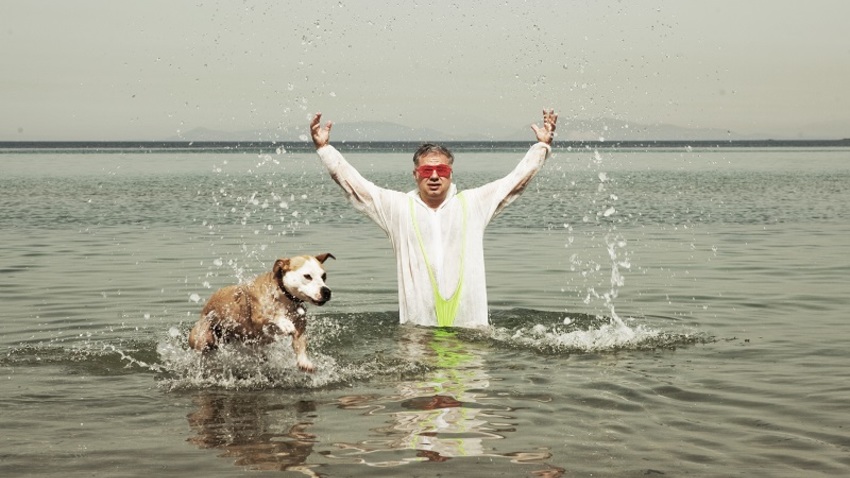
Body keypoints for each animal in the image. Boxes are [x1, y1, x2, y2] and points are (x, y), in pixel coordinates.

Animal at [189, 252, 334, 372]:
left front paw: (304, 362)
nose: (326, 291)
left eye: (324, 276)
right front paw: (285, 323)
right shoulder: (257, 318)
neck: (283, 296)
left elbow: (300, 343)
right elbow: (272, 315)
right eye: (307, 276)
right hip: (202, 337)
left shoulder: (300, 326)